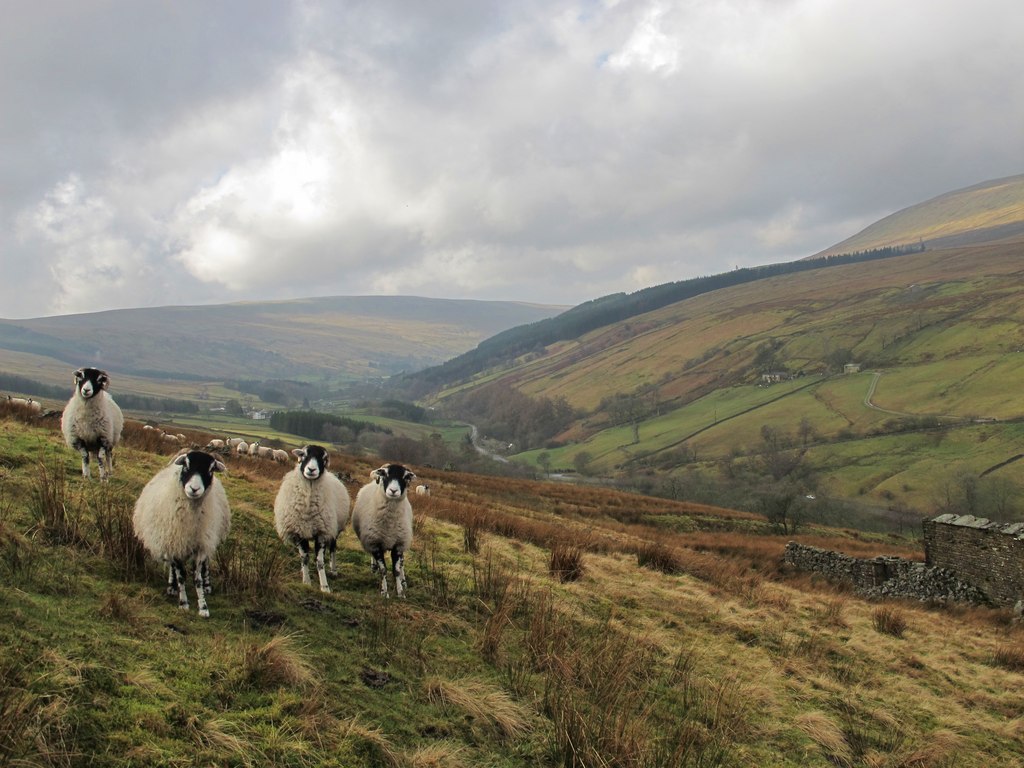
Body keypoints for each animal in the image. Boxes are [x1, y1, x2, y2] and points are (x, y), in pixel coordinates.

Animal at [272, 444, 352, 593]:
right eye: (303, 455)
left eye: (324, 459)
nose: (311, 469)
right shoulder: (299, 532)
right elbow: (304, 558)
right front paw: (306, 581)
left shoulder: (322, 533)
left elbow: (320, 561)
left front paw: (324, 587)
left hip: (334, 529)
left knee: (333, 549)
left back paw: (333, 570)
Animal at [352, 462, 415, 602]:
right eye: (385, 474)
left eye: (405, 476)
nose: (393, 491)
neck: (390, 523)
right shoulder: (375, 543)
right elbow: (383, 570)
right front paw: (384, 593)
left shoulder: (398, 545)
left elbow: (396, 570)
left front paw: (400, 592)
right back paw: (374, 568)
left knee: (402, 563)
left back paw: (404, 581)